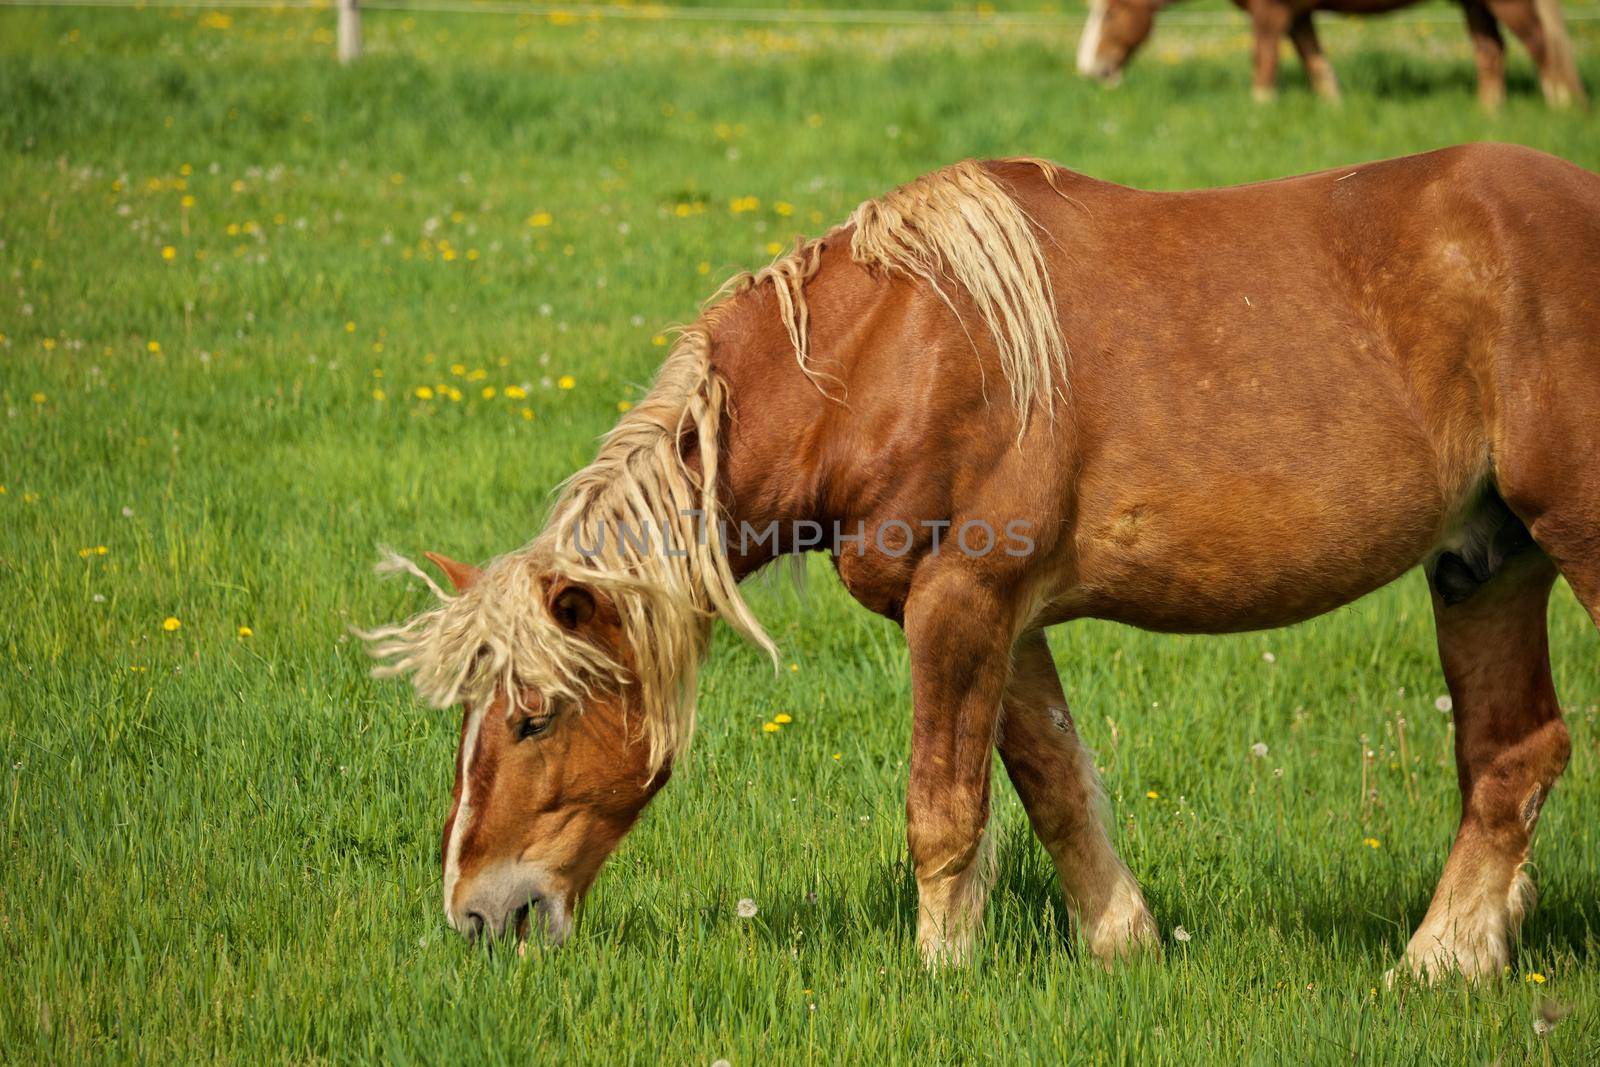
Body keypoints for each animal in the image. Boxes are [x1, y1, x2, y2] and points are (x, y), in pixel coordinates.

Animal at [363, 143, 1600, 985]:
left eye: (531, 717)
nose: (474, 914)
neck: (890, 354)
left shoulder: (958, 604)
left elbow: (943, 806)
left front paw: (941, 971)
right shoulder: (1010, 619)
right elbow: (1055, 783)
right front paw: (1122, 943)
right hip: (1484, 565)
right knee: (1512, 754)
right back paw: (1446, 958)